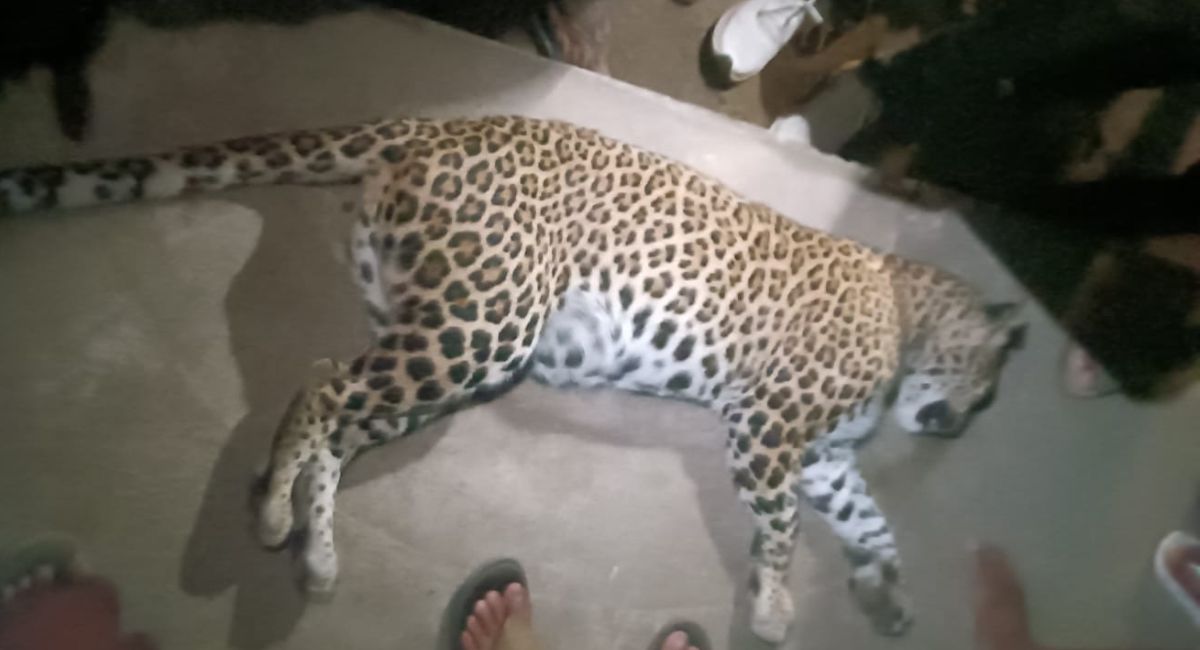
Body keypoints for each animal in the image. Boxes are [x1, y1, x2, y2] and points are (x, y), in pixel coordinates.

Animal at [0, 114, 1023, 643]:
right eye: (979, 382)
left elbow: (869, 519)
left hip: (437, 344)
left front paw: (887, 591)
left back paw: (317, 552)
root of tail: (449, 118)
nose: (955, 425)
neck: (906, 309)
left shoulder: (822, 457)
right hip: (479, 330)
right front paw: (774, 607)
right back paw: (273, 519)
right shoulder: (768, 428)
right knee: (325, 383)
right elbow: (780, 528)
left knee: (342, 415)